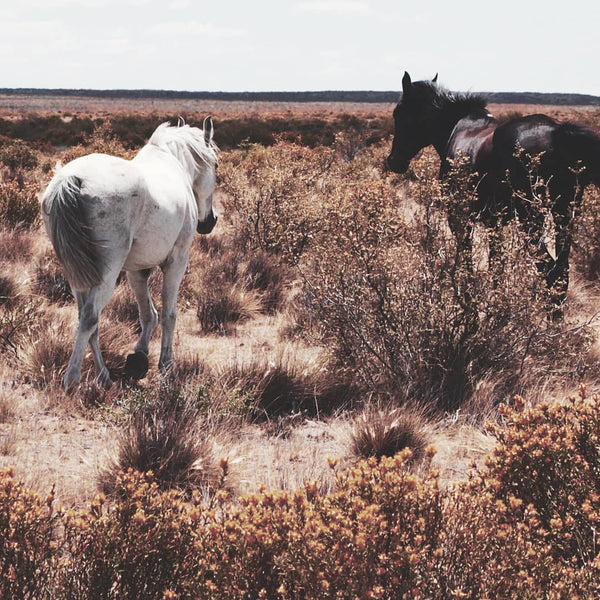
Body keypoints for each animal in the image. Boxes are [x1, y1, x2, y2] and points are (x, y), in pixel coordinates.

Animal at [40, 117, 218, 390]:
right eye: (216, 165)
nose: (210, 222)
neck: (175, 164)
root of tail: (70, 179)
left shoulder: (137, 270)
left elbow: (147, 314)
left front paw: (139, 357)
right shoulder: (177, 261)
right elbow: (168, 314)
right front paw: (166, 366)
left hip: (77, 274)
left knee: (87, 319)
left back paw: (104, 375)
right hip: (107, 273)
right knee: (90, 318)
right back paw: (72, 380)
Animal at [386, 71, 600, 314]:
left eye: (398, 112)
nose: (394, 161)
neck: (457, 127)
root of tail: (558, 133)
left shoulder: (459, 218)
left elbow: (467, 260)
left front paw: (470, 305)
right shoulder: (494, 222)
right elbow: (496, 265)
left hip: (531, 218)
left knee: (549, 270)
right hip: (565, 213)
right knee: (561, 272)